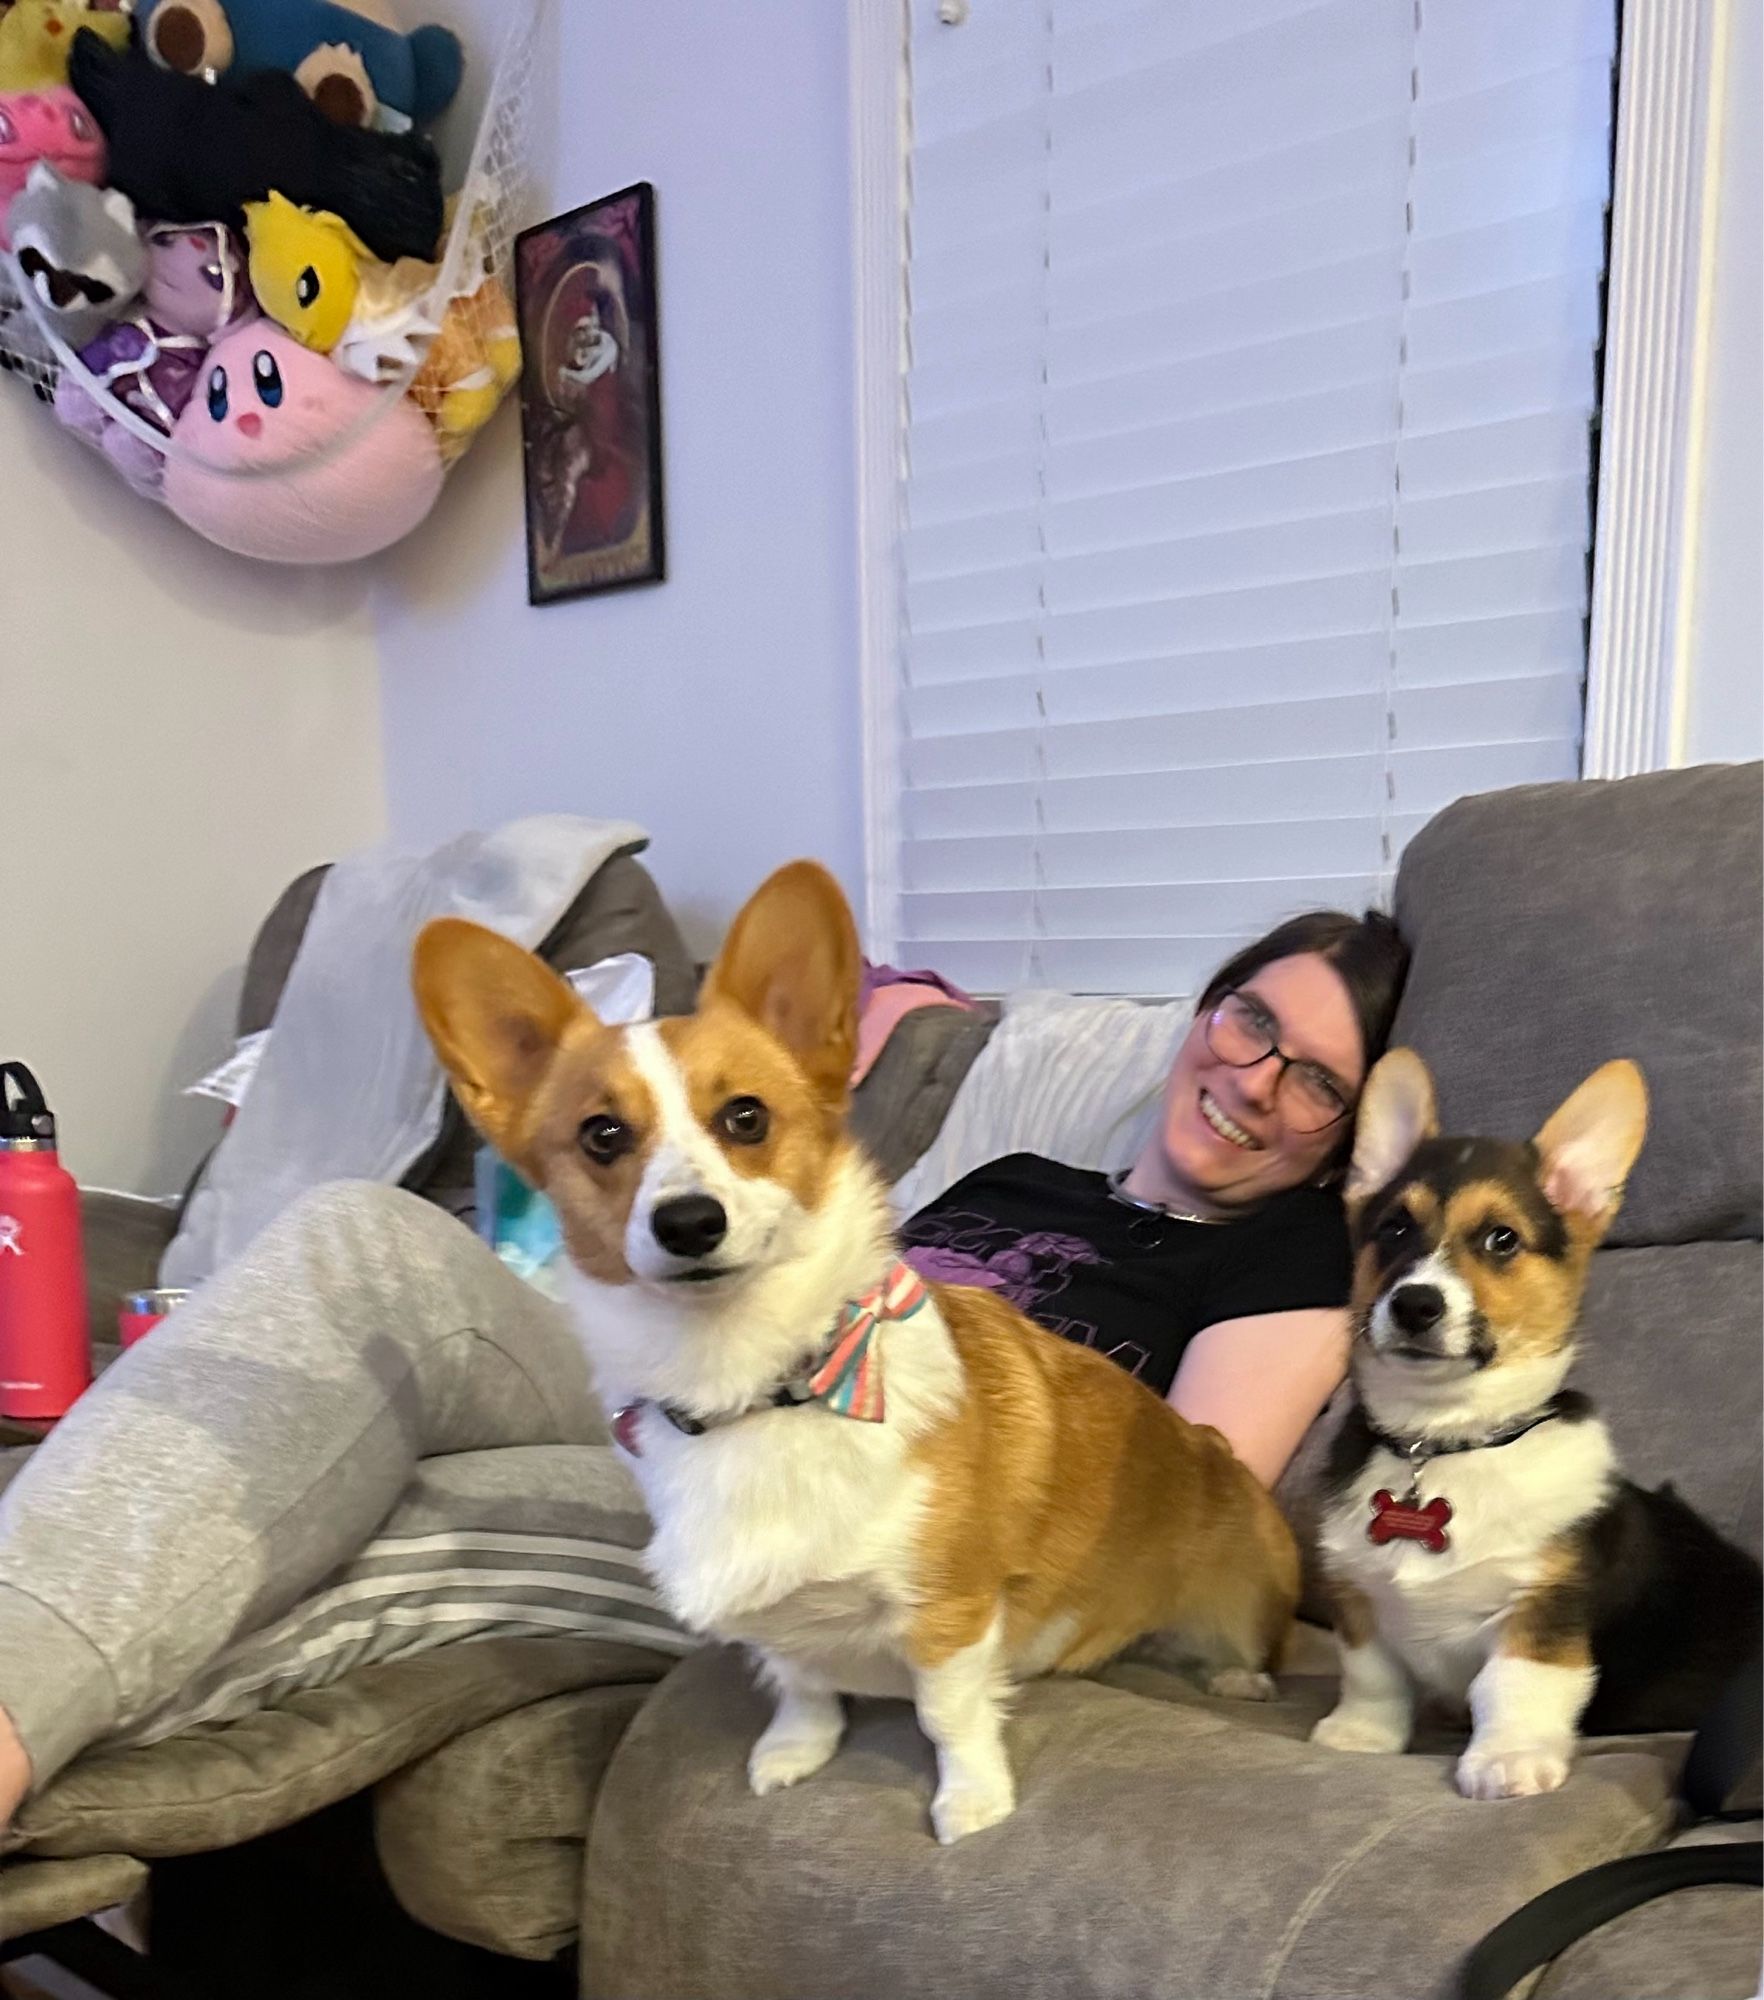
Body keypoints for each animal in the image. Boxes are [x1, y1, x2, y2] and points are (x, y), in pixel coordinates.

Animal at [410, 860, 1296, 1840]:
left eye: (746, 1118)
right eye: (602, 1135)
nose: (689, 1223)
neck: (759, 1382)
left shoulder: (949, 1608)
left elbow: (948, 1714)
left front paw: (971, 1801)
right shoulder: (784, 1622)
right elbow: (801, 1684)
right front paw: (795, 1752)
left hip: (1250, 1596)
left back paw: (1237, 1673)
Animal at [1312, 1056, 1752, 1808]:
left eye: (1502, 1239)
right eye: (1394, 1228)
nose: (1414, 1305)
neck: (1444, 1441)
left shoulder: (1545, 1611)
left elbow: (1515, 1687)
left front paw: (1507, 1760)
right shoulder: (1357, 1599)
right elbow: (1372, 1674)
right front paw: (1360, 1735)